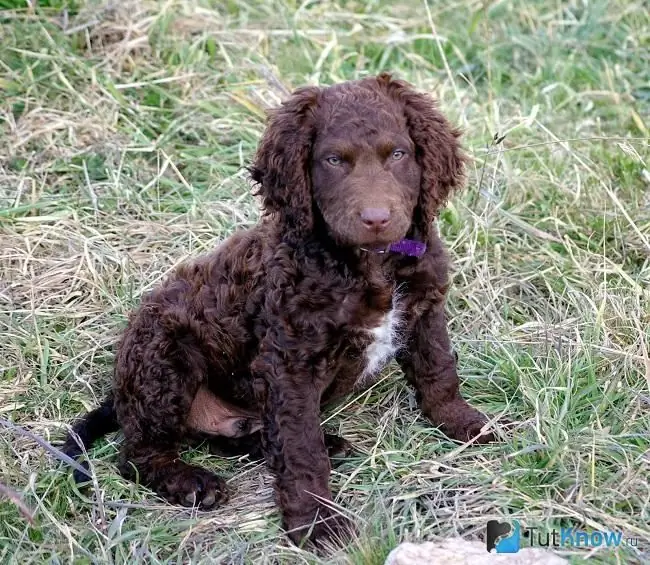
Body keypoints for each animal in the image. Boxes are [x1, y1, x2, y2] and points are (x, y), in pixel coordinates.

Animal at [63, 71, 494, 548]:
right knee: (137, 454)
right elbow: (300, 449)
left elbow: (438, 370)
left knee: (240, 437)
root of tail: (119, 393)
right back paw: (193, 483)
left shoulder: (425, 309)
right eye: (333, 161)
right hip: (164, 359)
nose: (376, 218)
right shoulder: (291, 361)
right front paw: (316, 523)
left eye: (398, 154)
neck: (367, 265)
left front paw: (462, 422)